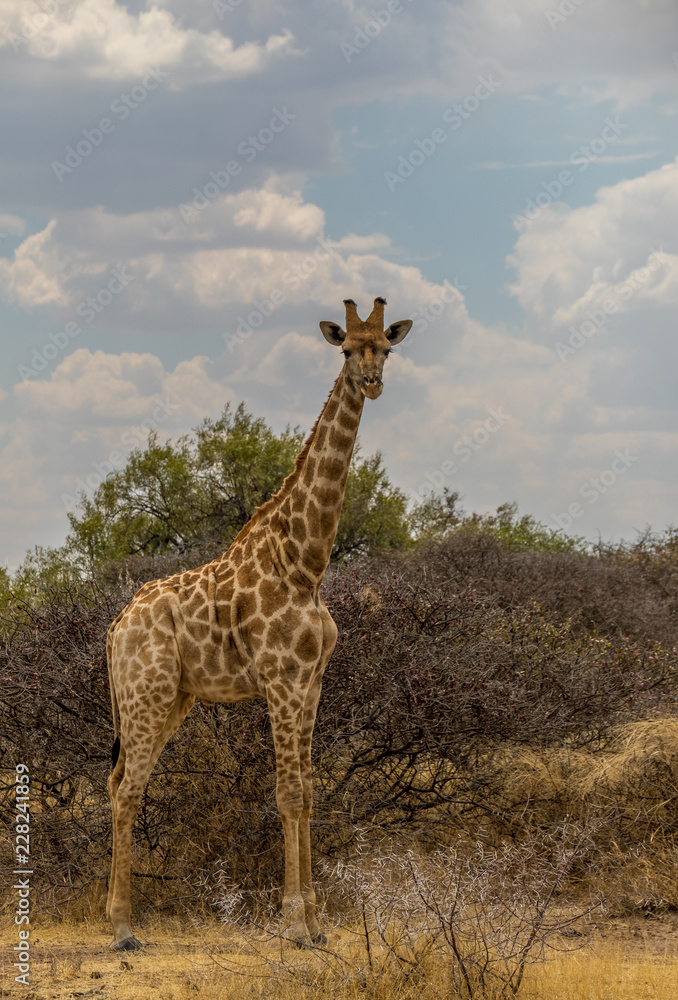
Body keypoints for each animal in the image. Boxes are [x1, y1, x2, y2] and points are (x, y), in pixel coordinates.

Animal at [105, 297, 413, 950]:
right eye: (348, 348)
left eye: (386, 348)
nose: (372, 382)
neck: (304, 561)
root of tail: (116, 627)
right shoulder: (281, 680)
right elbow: (287, 793)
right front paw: (294, 922)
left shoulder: (313, 682)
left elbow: (309, 792)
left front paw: (318, 923)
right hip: (147, 693)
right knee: (128, 786)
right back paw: (121, 927)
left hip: (174, 699)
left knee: (120, 778)